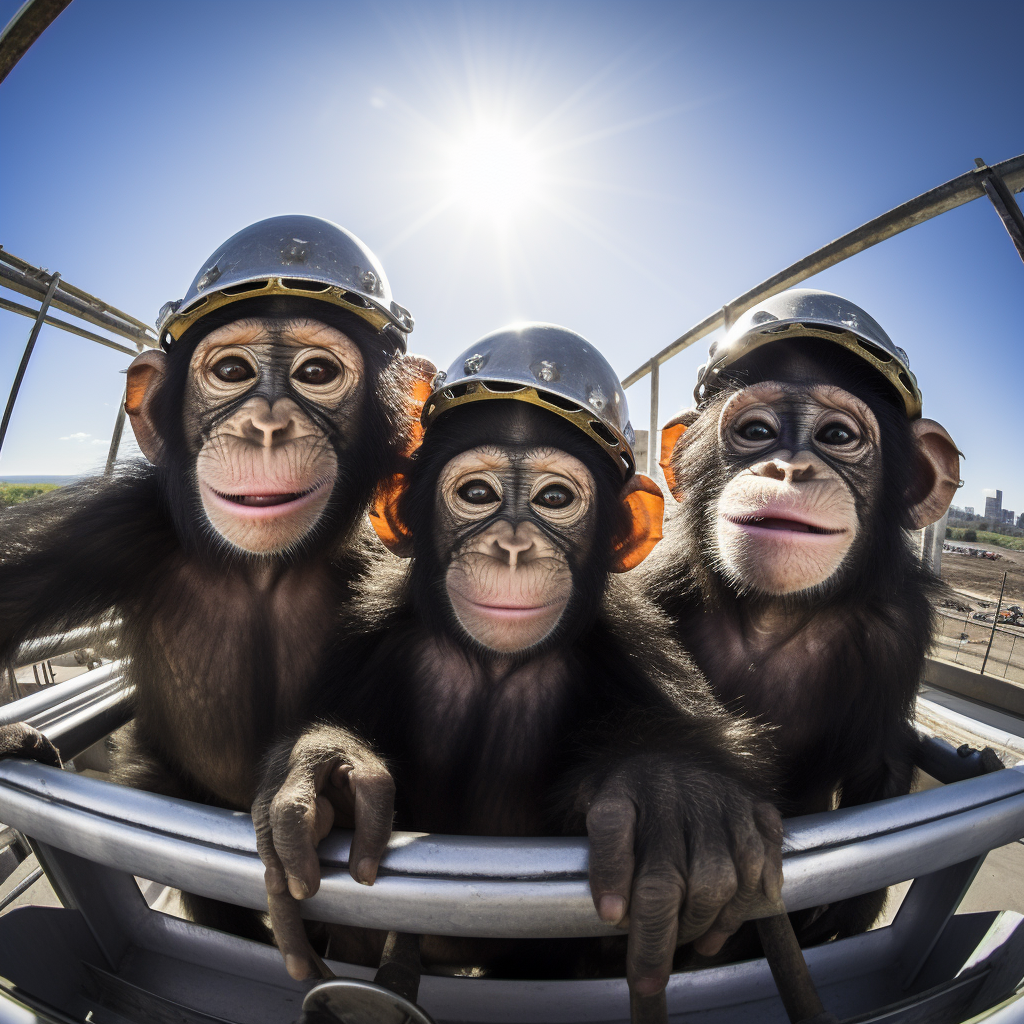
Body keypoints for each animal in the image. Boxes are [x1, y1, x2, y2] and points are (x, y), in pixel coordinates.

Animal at [0, 220, 430, 933]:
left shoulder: (389, 573)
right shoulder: (108, 529)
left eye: (317, 373)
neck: (259, 573)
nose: (267, 425)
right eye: (232, 371)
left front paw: (320, 763)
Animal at [249, 325, 782, 1007]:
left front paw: (674, 793)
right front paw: (323, 768)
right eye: (477, 494)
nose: (511, 548)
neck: (491, 666)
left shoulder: (639, 650)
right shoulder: (367, 630)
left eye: (555, 498)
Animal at [647, 288, 958, 942]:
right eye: (757, 431)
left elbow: (879, 764)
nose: (789, 468)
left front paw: (842, 913)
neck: (773, 613)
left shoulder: (898, 630)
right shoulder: (657, 585)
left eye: (837, 434)